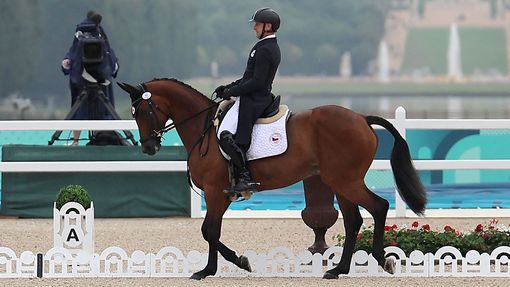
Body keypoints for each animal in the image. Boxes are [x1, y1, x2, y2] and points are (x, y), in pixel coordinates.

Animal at [116, 77, 426, 280]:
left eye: (143, 110)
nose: (148, 147)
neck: (205, 129)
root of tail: (361, 118)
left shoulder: (215, 191)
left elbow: (210, 231)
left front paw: (210, 270)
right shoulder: (224, 193)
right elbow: (210, 230)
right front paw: (237, 262)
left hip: (345, 181)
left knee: (378, 207)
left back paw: (381, 260)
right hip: (340, 182)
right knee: (353, 221)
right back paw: (338, 270)